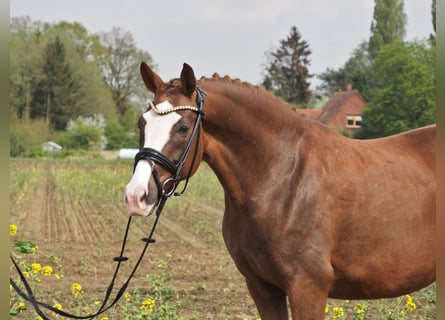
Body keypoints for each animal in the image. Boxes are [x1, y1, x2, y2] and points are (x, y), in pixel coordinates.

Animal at [125, 63, 434, 320]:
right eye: (141, 123)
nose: (135, 196)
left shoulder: (307, 287)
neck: (283, 179)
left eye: (183, 127)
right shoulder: (262, 287)